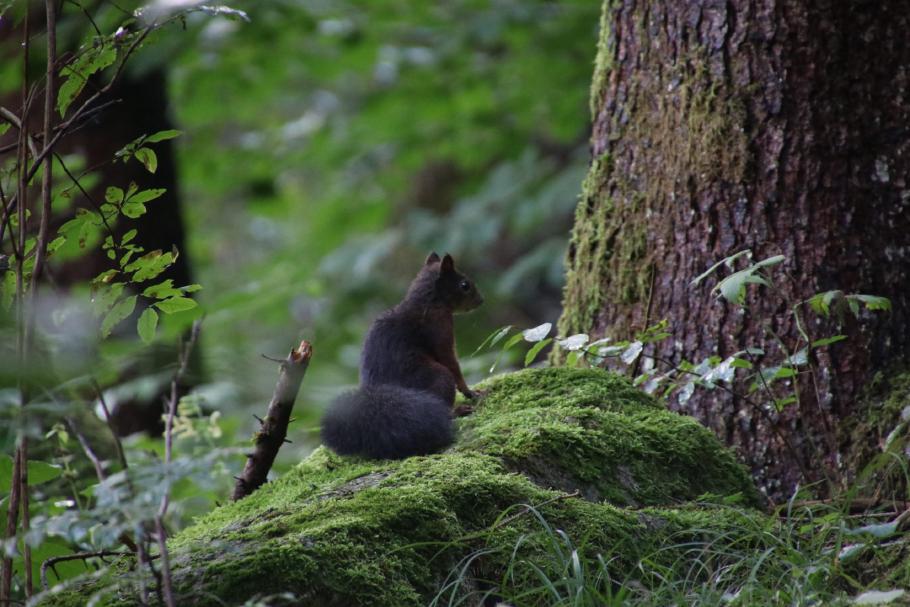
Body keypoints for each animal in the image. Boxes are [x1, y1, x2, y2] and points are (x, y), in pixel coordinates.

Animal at [321, 252, 483, 459]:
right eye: (464, 285)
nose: (481, 300)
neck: (428, 302)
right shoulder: (441, 332)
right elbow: (452, 363)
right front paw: (470, 391)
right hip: (437, 377)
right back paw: (458, 410)